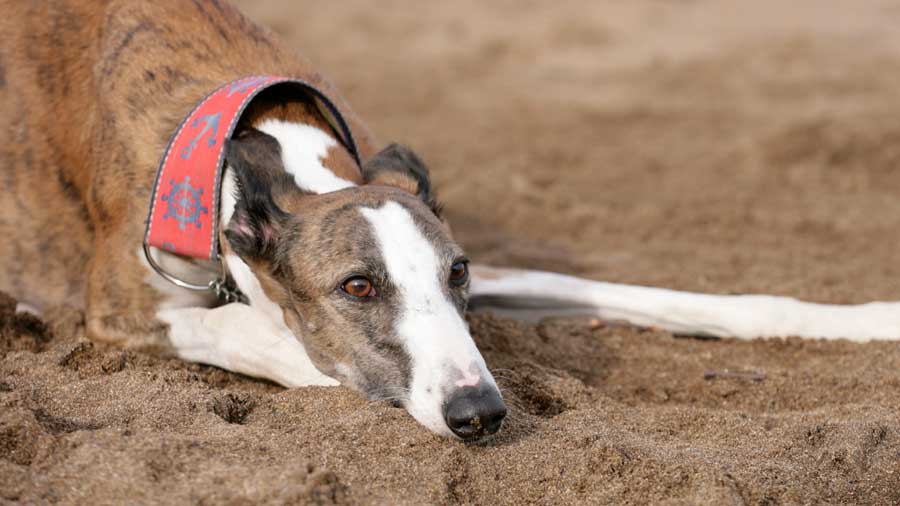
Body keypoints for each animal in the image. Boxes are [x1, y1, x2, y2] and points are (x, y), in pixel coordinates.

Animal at [1, 0, 900, 438]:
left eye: (457, 272)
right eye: (356, 287)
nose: (482, 415)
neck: (251, 134)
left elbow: (667, 295)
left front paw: (869, 318)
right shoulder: (121, 310)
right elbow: (289, 347)